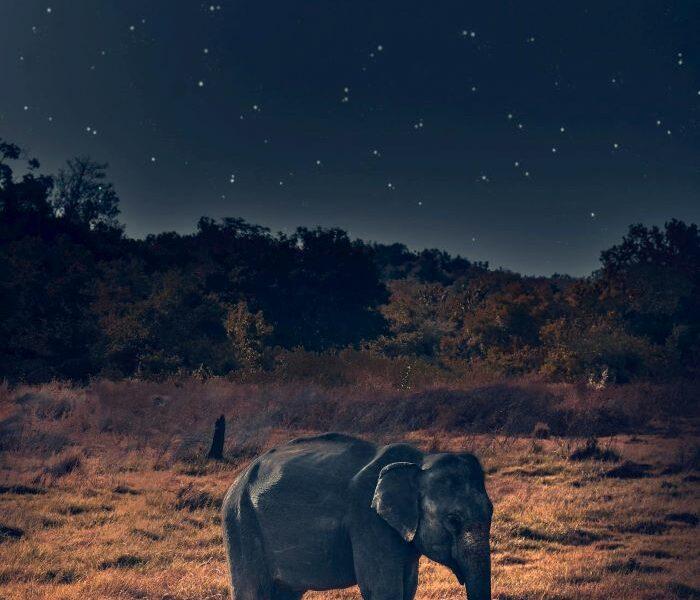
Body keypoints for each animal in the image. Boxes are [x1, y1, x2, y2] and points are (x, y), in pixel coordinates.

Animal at [222, 432, 493, 600]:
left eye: (491, 513)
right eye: (454, 520)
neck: (419, 461)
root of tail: (239, 478)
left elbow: (408, 588)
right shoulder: (368, 521)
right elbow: (382, 590)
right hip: (241, 524)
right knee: (253, 591)